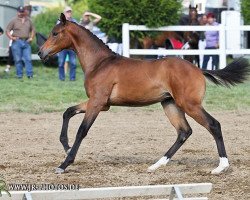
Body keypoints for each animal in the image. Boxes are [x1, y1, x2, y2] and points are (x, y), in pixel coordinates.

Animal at [37, 13, 250, 174]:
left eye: (55, 33)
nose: (40, 53)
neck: (99, 63)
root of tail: (198, 69)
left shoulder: (97, 102)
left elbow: (82, 130)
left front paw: (64, 163)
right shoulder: (101, 103)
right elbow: (68, 111)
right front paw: (65, 146)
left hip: (189, 104)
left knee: (213, 125)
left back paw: (221, 166)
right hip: (170, 104)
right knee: (184, 131)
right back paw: (156, 165)